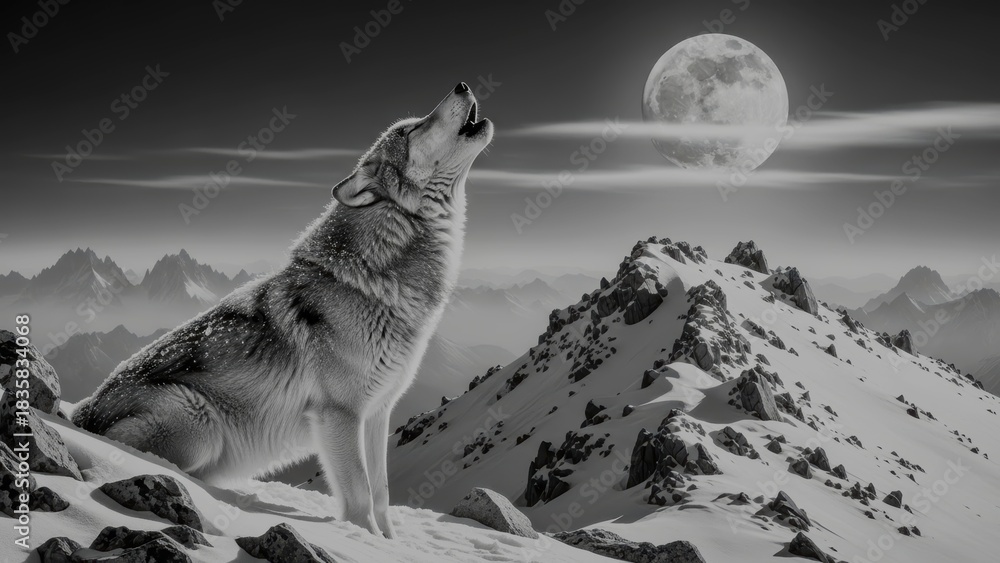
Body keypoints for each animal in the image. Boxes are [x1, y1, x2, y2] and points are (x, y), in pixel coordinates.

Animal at [72, 83, 493, 538]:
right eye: (411, 129)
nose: (462, 85)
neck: (375, 277)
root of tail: (80, 413)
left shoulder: (378, 414)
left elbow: (381, 495)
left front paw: (389, 542)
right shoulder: (339, 415)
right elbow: (361, 496)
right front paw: (364, 539)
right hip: (200, 423)